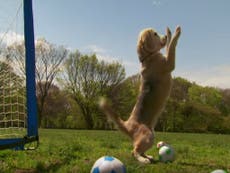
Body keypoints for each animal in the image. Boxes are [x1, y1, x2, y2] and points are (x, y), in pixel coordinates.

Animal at [99, 25, 181, 164]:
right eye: (155, 34)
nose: (164, 36)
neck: (148, 57)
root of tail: (127, 125)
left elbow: (169, 45)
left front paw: (169, 33)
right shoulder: (169, 63)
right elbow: (172, 46)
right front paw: (176, 33)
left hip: (151, 136)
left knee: (139, 150)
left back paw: (148, 156)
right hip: (148, 136)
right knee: (134, 151)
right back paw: (143, 160)